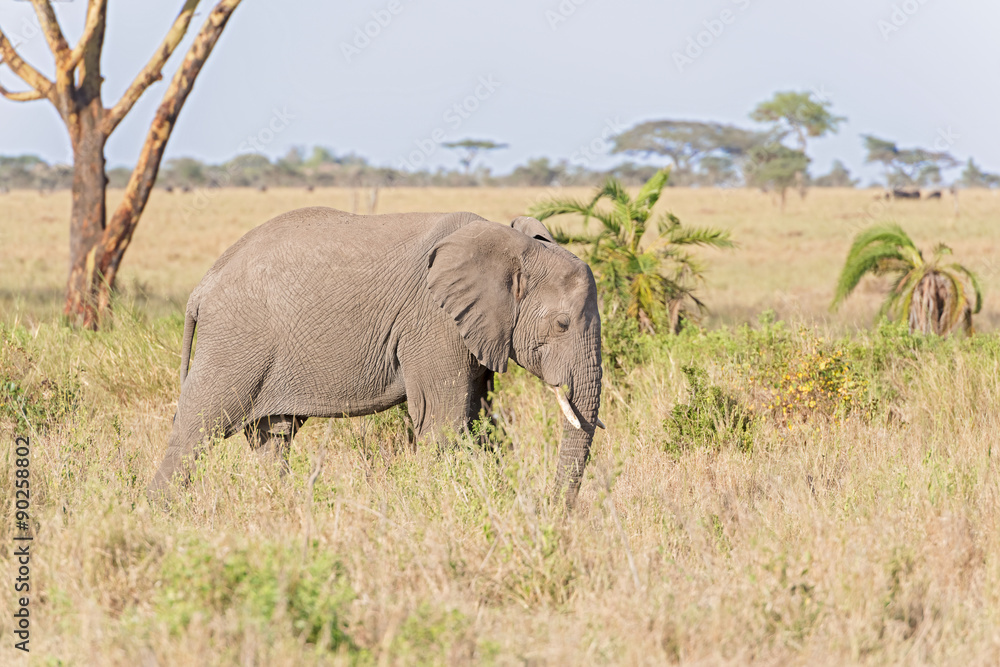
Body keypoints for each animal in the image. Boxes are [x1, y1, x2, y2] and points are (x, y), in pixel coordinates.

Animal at [147, 208, 604, 508]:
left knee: (272, 437)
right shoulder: (434, 322)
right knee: (197, 427)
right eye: (562, 324)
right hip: (236, 340)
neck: (510, 244)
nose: (554, 511)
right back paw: (158, 512)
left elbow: (480, 419)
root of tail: (201, 289)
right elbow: (443, 421)